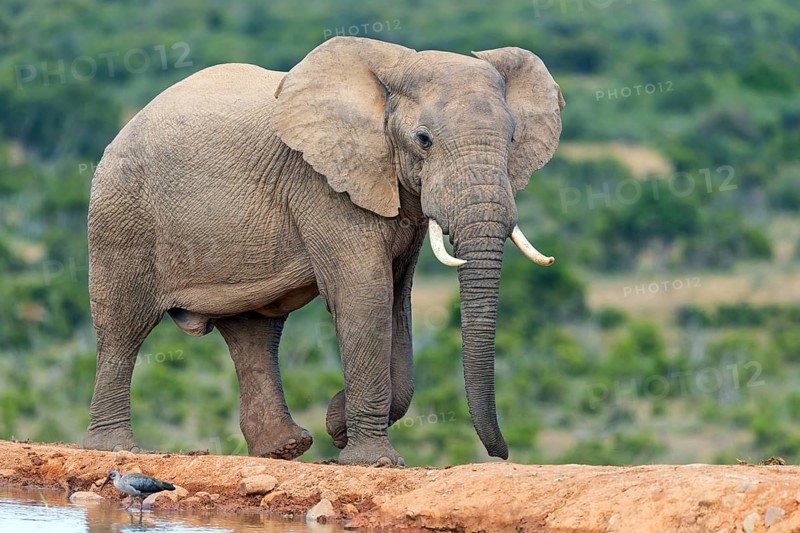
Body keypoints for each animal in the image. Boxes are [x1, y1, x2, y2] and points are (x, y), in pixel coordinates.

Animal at [84, 36, 564, 466]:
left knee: (253, 330)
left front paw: (338, 425)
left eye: (513, 139)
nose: (502, 454)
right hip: (122, 211)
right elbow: (364, 295)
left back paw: (283, 450)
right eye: (424, 139)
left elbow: (397, 301)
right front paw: (370, 458)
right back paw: (117, 449)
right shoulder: (323, 183)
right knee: (123, 325)